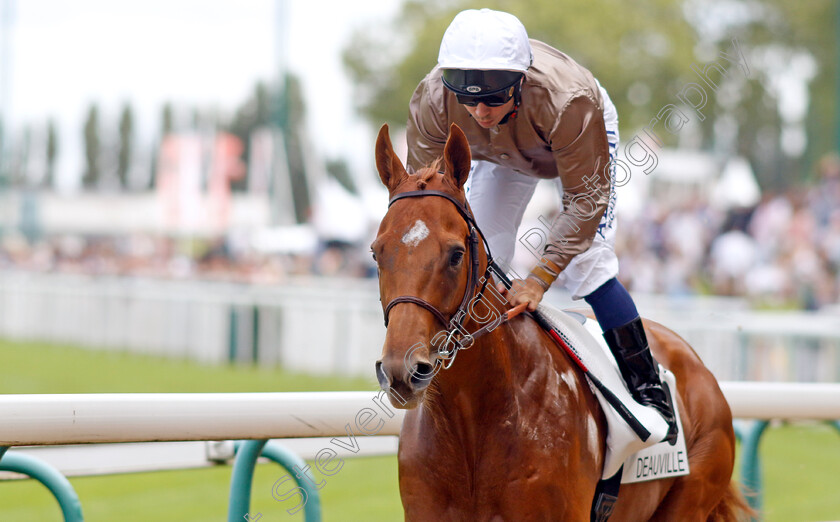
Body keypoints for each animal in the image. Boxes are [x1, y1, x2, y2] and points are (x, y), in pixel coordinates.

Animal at [374, 124, 748, 516]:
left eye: (456, 254)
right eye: (376, 252)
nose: (401, 371)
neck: (473, 424)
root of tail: (697, 364)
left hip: (693, 494)